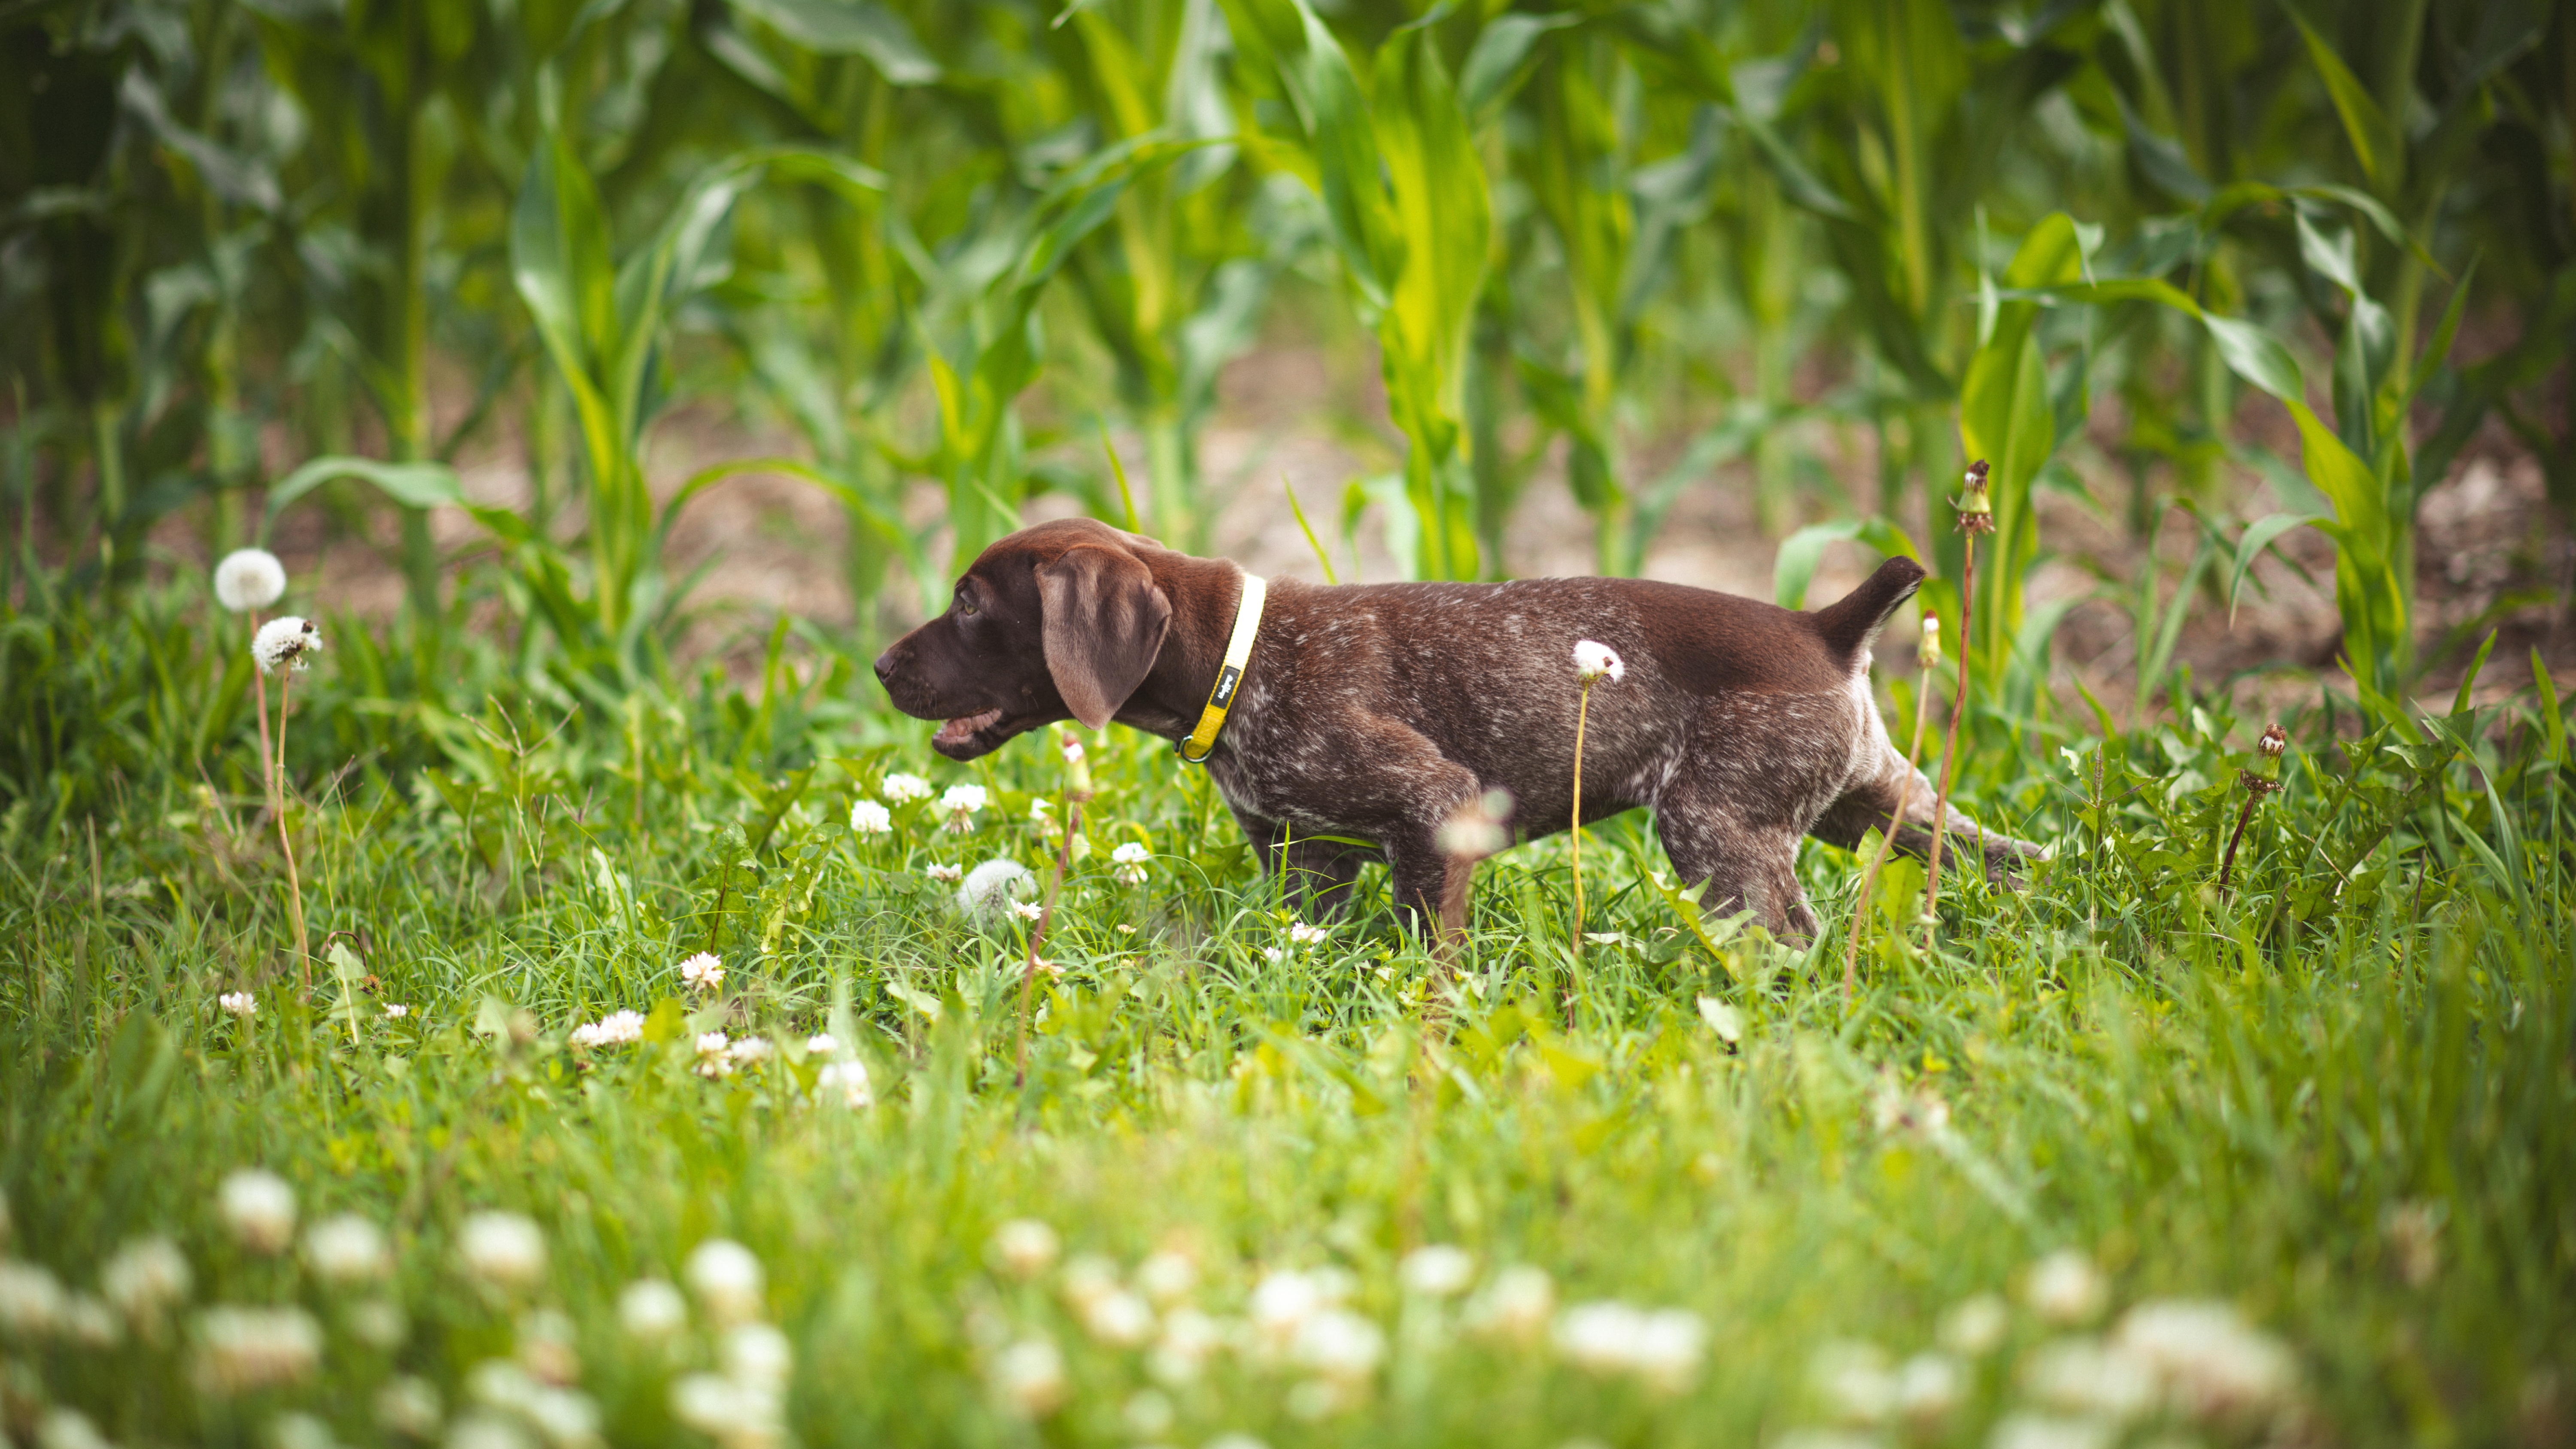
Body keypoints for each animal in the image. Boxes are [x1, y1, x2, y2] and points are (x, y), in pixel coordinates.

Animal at [876, 513, 2040, 943]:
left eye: (972, 604)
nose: (881, 666)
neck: (1238, 663)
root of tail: (1823, 626)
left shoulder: (1435, 809)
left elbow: (1429, 945)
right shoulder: (1307, 860)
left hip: (1717, 827)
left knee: (1788, 936)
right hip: (1877, 803)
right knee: (2012, 859)